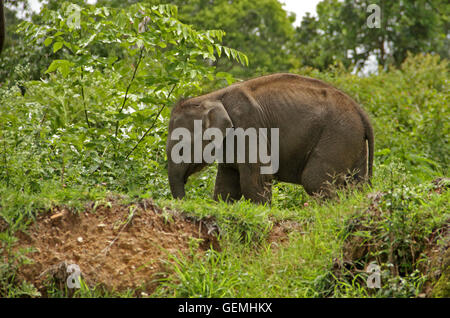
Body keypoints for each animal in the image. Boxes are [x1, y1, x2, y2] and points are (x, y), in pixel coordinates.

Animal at [165, 72, 372, 204]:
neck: (212, 96)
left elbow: (254, 180)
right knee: (354, 184)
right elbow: (226, 185)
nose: (184, 202)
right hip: (352, 140)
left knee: (314, 180)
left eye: (182, 148)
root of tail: (360, 111)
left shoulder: (248, 126)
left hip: (338, 134)